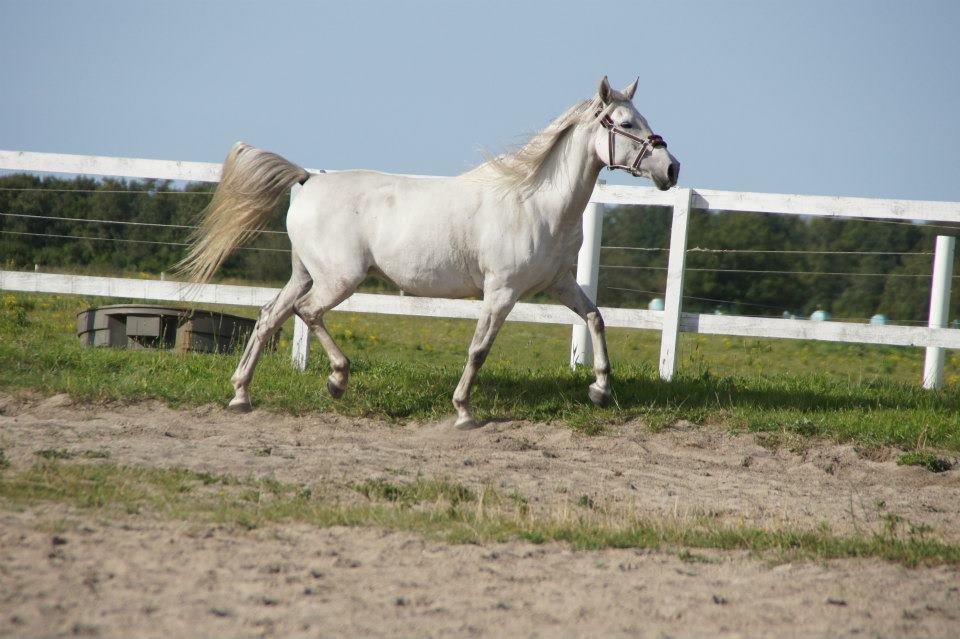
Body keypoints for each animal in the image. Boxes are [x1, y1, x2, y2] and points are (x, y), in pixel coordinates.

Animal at [176, 79, 680, 430]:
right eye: (626, 123)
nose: (671, 168)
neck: (535, 202)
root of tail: (308, 179)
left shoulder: (558, 282)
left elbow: (595, 317)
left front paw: (600, 390)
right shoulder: (502, 292)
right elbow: (479, 349)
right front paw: (463, 412)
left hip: (304, 274)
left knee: (268, 317)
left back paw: (241, 395)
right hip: (338, 279)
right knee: (307, 312)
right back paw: (336, 380)